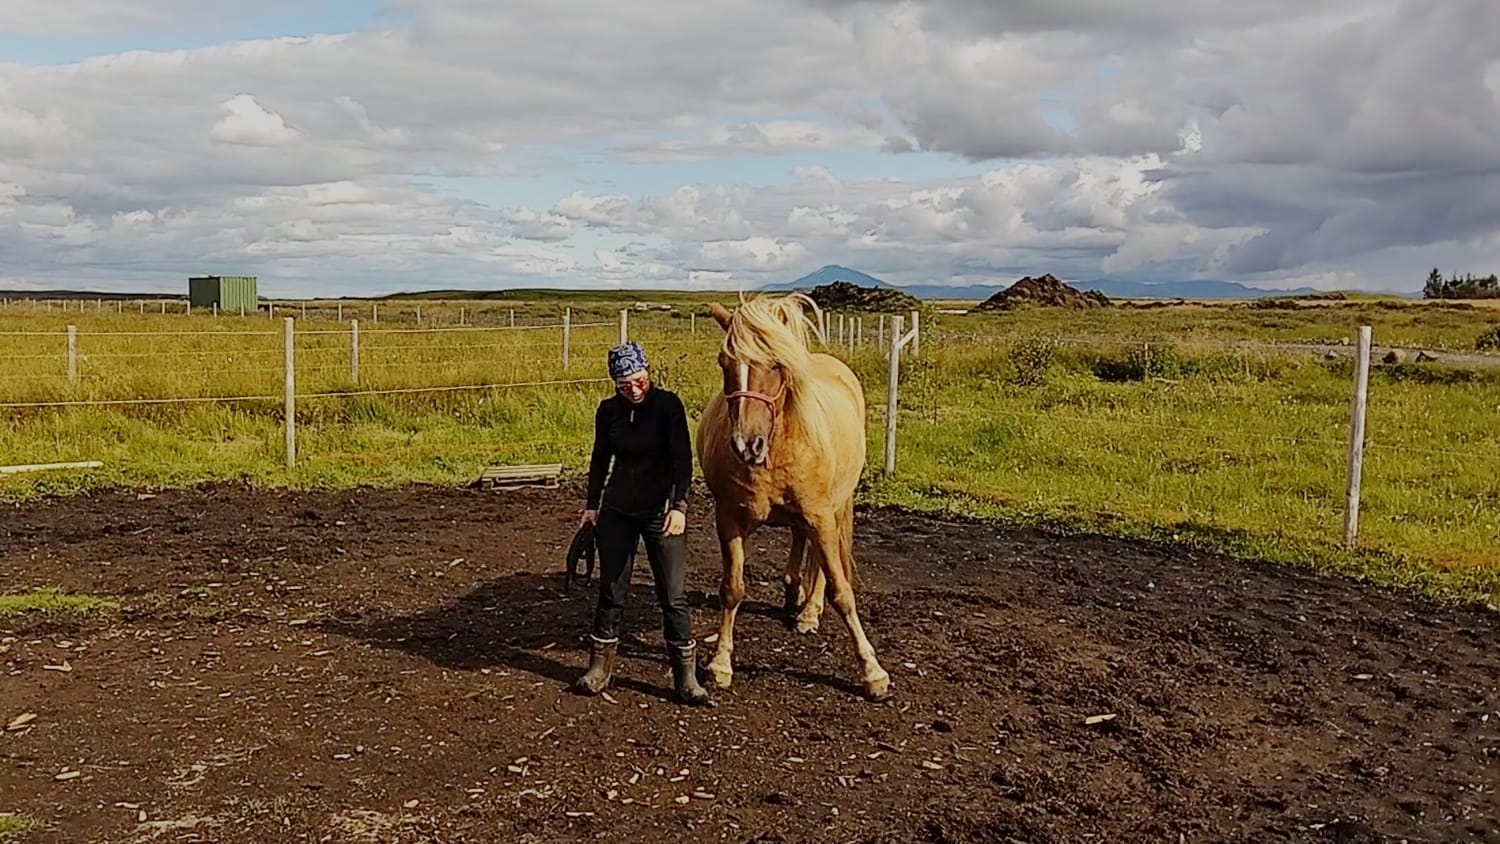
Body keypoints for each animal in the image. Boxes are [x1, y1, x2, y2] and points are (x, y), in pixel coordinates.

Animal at [695, 292, 891, 701]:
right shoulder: (729, 520)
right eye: (724, 362)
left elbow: (841, 591)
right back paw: (792, 592)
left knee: (822, 563)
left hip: (836, 508)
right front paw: (720, 663)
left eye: (776, 363)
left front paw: (872, 671)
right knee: (800, 543)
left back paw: (809, 611)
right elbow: (732, 589)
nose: (746, 445)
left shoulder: (820, 515)